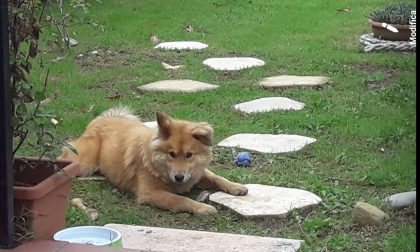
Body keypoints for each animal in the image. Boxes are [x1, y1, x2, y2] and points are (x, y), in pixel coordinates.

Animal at [60, 106, 248, 215]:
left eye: (189, 155)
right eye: (171, 154)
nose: (179, 177)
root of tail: (100, 120)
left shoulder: (195, 173)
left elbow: (216, 177)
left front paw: (236, 187)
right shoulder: (150, 193)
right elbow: (181, 200)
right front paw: (202, 208)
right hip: (83, 163)